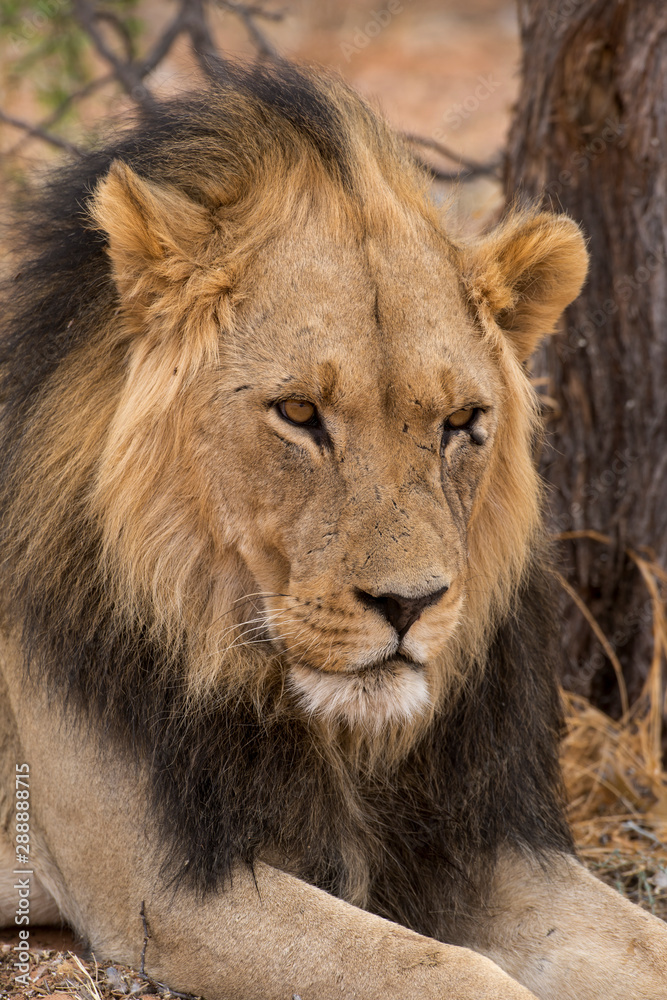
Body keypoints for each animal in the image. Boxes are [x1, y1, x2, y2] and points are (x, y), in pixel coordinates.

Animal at [1, 64, 667, 1000]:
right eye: (298, 413)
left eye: (461, 422)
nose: (409, 605)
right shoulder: (155, 885)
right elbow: (447, 970)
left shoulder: (471, 842)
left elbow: (643, 945)